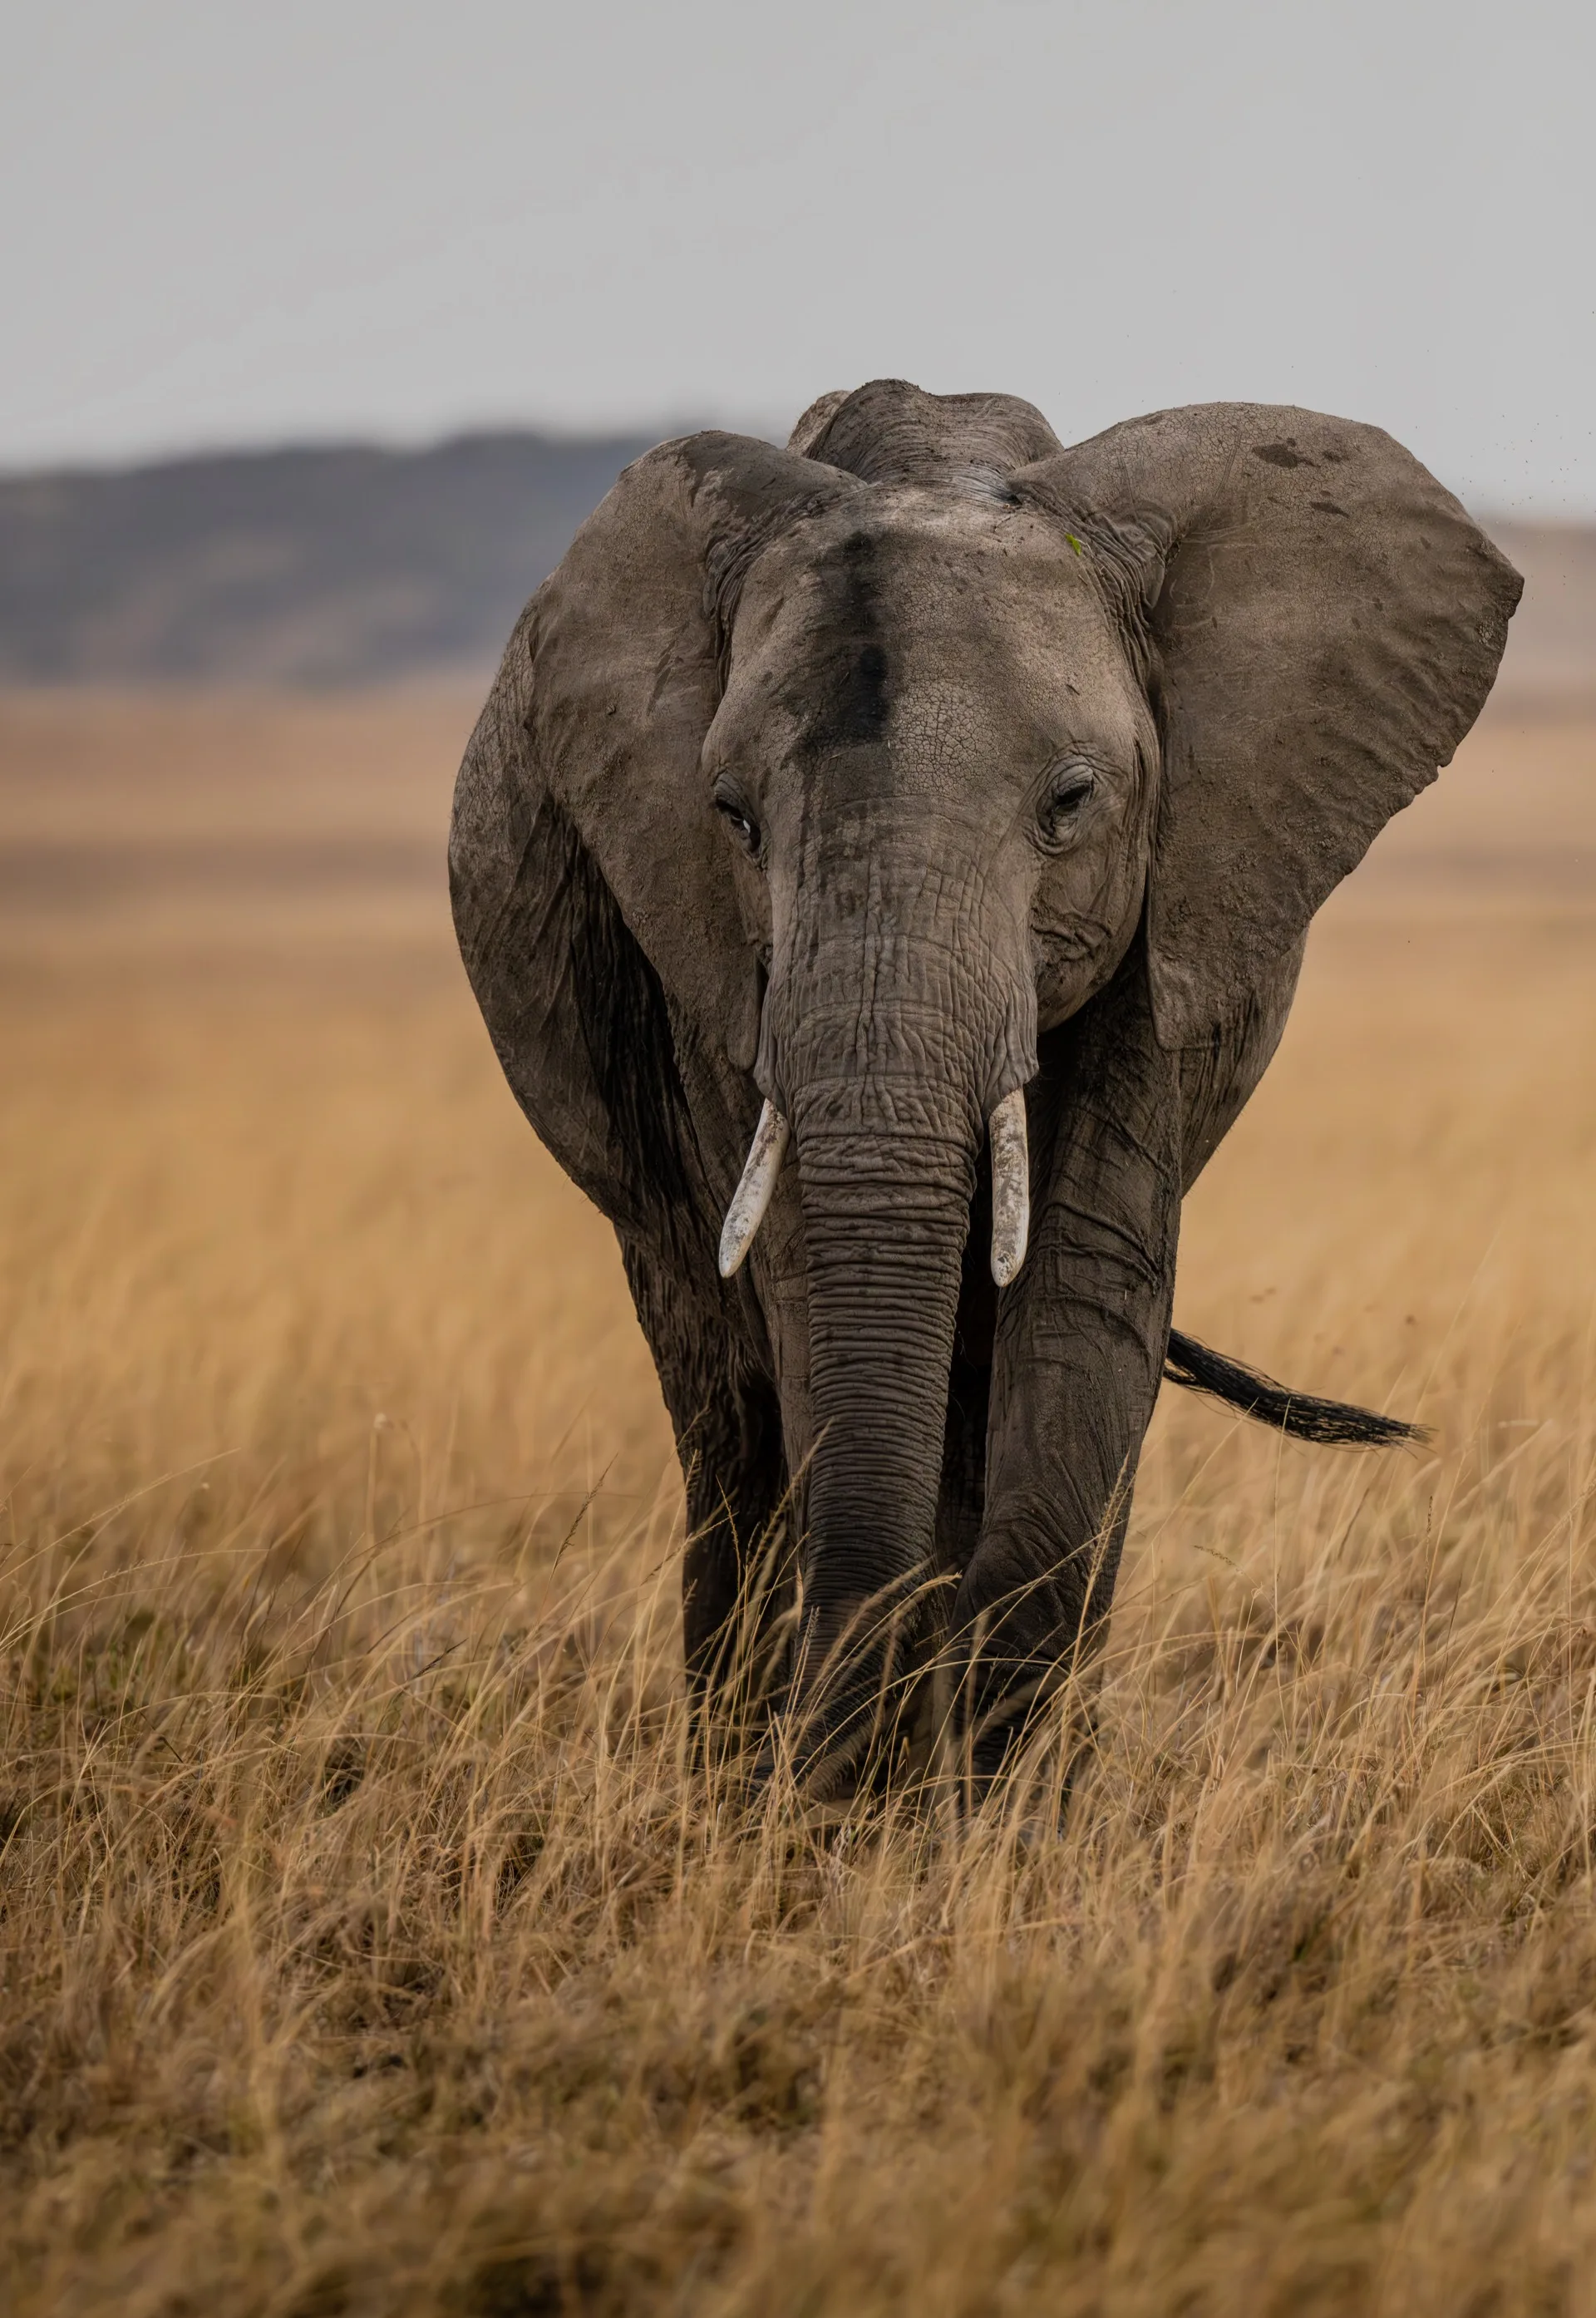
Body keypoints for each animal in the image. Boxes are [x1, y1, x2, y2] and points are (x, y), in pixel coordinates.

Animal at [450, 379, 1519, 1808]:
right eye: (731, 815)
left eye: (1072, 800)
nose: (826, 1788)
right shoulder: (708, 959)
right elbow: (799, 1281)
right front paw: (854, 1815)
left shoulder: (1176, 895)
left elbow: (1082, 1285)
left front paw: (1003, 1818)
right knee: (723, 1412)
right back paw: (737, 1778)